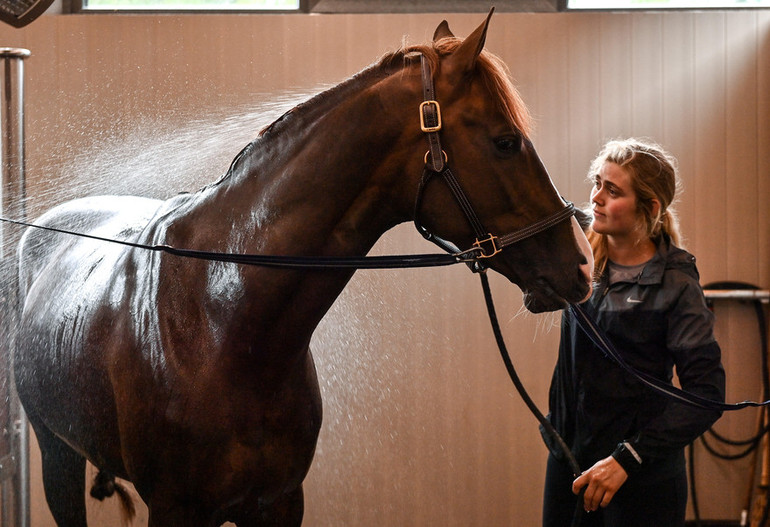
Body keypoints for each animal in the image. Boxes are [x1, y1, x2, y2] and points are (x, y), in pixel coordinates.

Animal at [12, 12, 592, 527]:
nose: (582, 262)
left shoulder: (280, 503)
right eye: (505, 141)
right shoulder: (178, 509)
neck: (222, 324)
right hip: (56, 456)